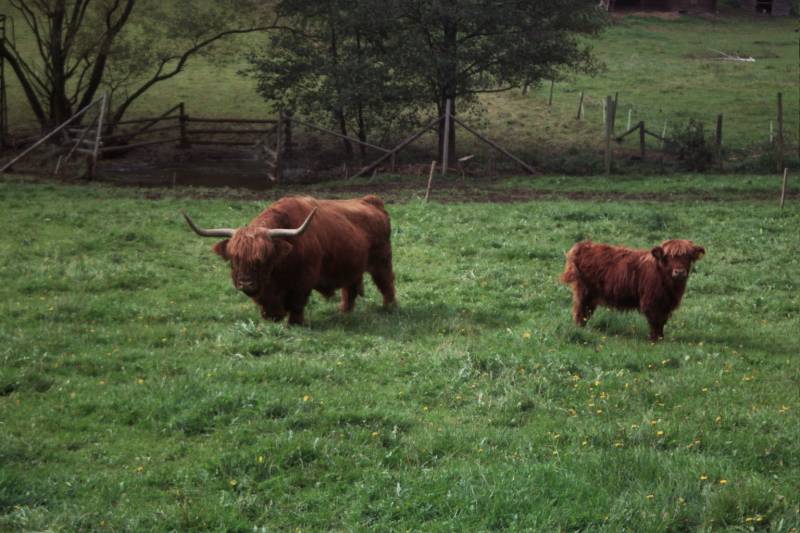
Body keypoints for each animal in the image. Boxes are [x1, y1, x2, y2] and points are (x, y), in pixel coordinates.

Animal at [181, 195, 394, 324]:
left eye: (262, 259)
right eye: (234, 258)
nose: (246, 283)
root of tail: (370, 201)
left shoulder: (303, 282)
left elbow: (296, 304)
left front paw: (294, 323)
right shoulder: (266, 292)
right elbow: (267, 307)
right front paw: (271, 320)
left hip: (381, 261)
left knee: (387, 284)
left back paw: (389, 308)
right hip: (351, 266)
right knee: (349, 291)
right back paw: (344, 313)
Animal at [560, 238, 704, 338]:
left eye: (688, 256)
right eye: (668, 256)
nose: (679, 272)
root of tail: (584, 245)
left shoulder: (666, 304)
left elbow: (662, 321)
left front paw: (661, 338)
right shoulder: (652, 301)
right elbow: (655, 321)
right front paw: (655, 339)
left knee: (585, 312)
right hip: (584, 292)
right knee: (580, 311)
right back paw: (580, 329)